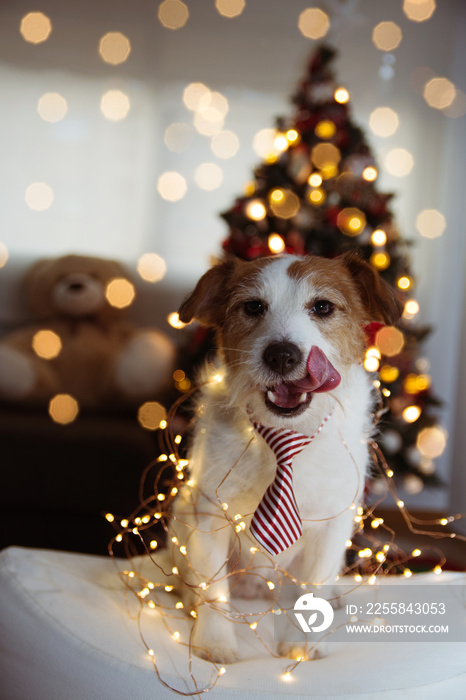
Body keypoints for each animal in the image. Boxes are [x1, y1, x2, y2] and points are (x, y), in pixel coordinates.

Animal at [156, 252, 400, 660]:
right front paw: (215, 642)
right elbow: (213, 588)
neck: (287, 434)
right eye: (253, 306)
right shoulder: (209, 514)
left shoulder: (333, 523)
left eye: (323, 307)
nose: (282, 355)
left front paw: (301, 645)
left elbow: (314, 585)